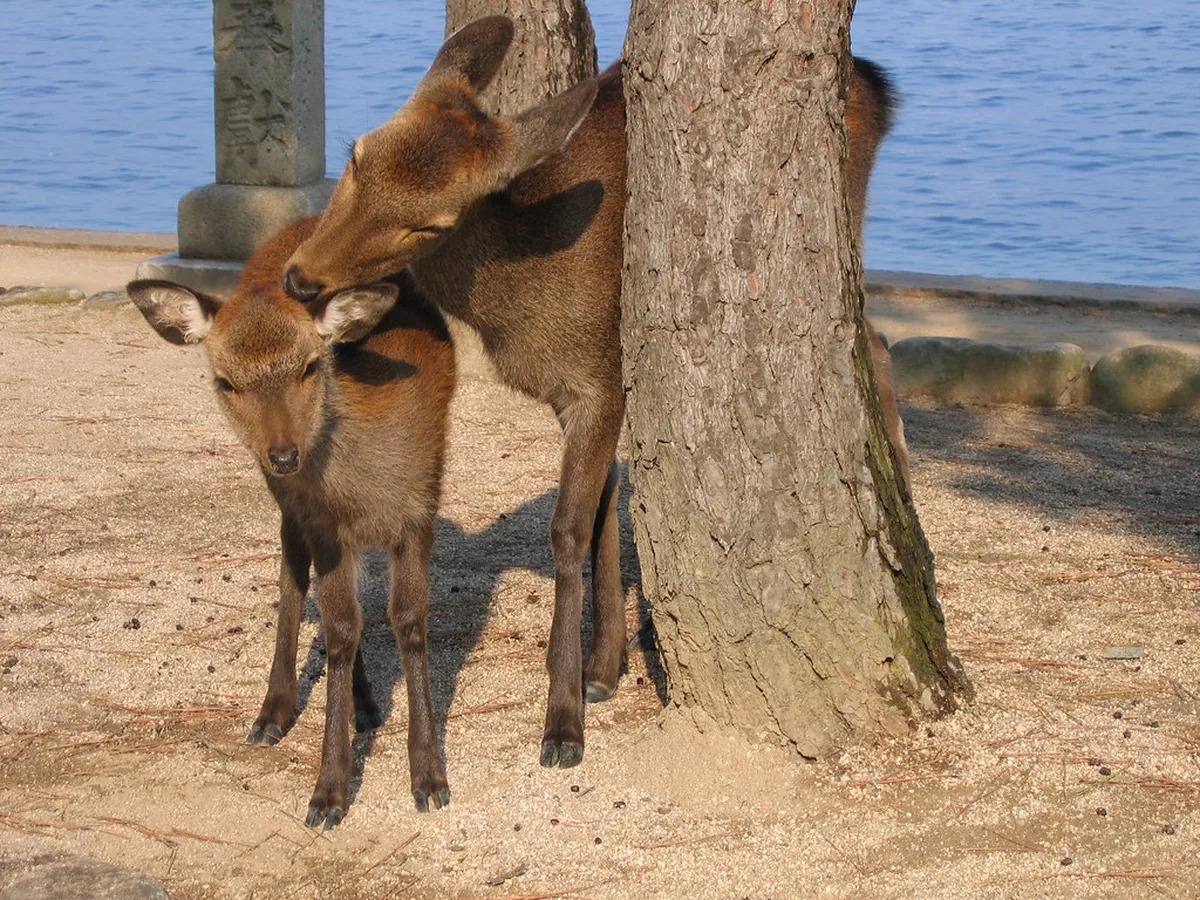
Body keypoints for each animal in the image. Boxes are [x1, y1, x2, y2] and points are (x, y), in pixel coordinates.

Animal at [126, 215, 456, 828]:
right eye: (225, 381)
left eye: (310, 365)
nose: (283, 454)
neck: (365, 494)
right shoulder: (322, 522)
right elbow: (341, 624)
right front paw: (329, 793)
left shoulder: (421, 505)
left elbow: (407, 621)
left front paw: (429, 778)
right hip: (288, 506)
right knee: (293, 578)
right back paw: (273, 713)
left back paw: (367, 705)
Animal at [282, 16, 907, 769]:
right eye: (355, 154)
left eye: (432, 223)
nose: (300, 277)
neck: (525, 317)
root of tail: (877, 84)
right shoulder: (577, 393)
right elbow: (606, 507)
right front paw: (604, 669)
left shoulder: (602, 379)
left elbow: (568, 528)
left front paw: (562, 722)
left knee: (873, 340)